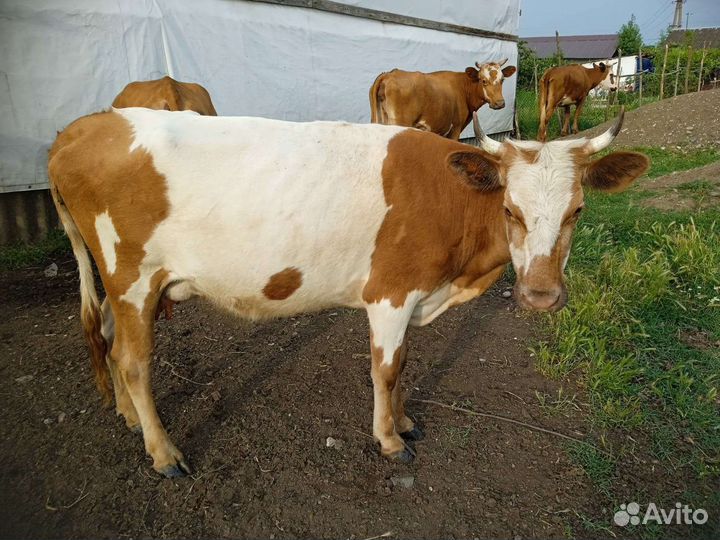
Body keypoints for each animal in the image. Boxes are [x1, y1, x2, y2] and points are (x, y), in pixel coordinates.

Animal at [48, 106, 647, 477]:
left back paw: (127, 416)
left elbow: (405, 365)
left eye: (577, 211)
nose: (542, 295)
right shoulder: (390, 293)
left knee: (107, 339)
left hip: (118, 282)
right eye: (510, 210)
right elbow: (387, 368)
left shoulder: (415, 296)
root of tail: (79, 129)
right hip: (132, 277)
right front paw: (390, 440)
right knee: (133, 360)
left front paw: (404, 421)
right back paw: (163, 451)